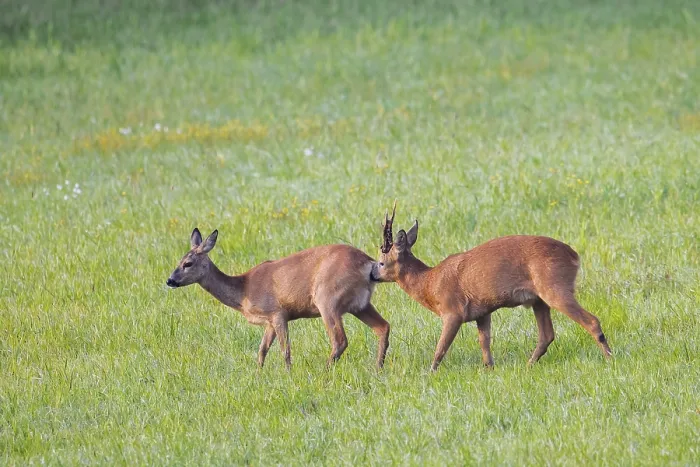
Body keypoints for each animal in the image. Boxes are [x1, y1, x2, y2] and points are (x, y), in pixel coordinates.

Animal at [166, 228, 390, 370]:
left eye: (187, 263)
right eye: (178, 261)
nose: (170, 280)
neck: (243, 291)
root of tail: (369, 263)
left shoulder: (277, 313)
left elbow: (285, 350)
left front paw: (288, 374)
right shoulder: (269, 322)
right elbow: (262, 350)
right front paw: (258, 374)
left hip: (328, 299)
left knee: (339, 340)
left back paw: (325, 372)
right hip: (360, 304)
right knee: (383, 327)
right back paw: (377, 368)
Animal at [373, 203, 612, 371]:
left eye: (382, 262)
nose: (372, 274)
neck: (429, 283)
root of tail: (574, 256)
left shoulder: (452, 311)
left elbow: (440, 348)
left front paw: (430, 372)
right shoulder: (483, 311)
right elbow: (484, 343)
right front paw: (489, 368)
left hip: (555, 287)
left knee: (591, 321)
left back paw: (610, 358)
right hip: (539, 299)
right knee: (547, 335)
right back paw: (528, 365)